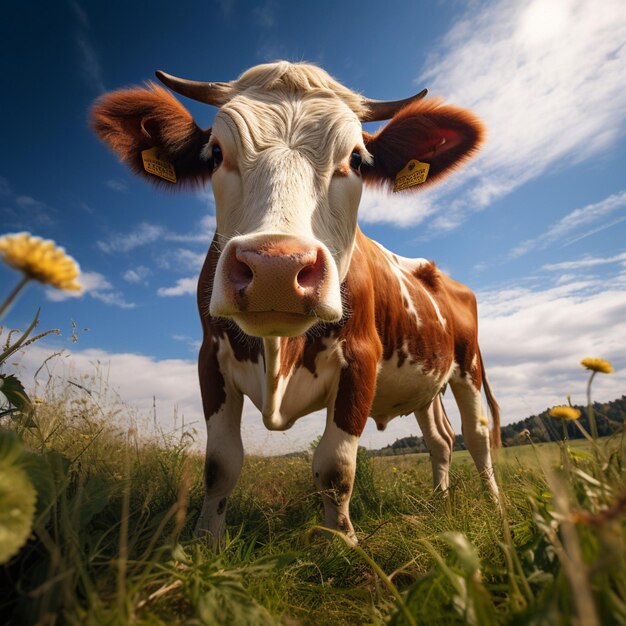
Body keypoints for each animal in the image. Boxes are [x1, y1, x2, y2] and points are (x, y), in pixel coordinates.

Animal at [92, 59, 500, 544]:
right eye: (215, 154)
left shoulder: (361, 358)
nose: (276, 270)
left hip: (468, 365)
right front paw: (206, 541)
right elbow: (220, 463)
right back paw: (439, 501)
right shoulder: (210, 358)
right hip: (424, 380)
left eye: (357, 159)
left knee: (476, 434)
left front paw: (343, 543)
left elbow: (335, 467)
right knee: (441, 438)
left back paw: (496, 507)